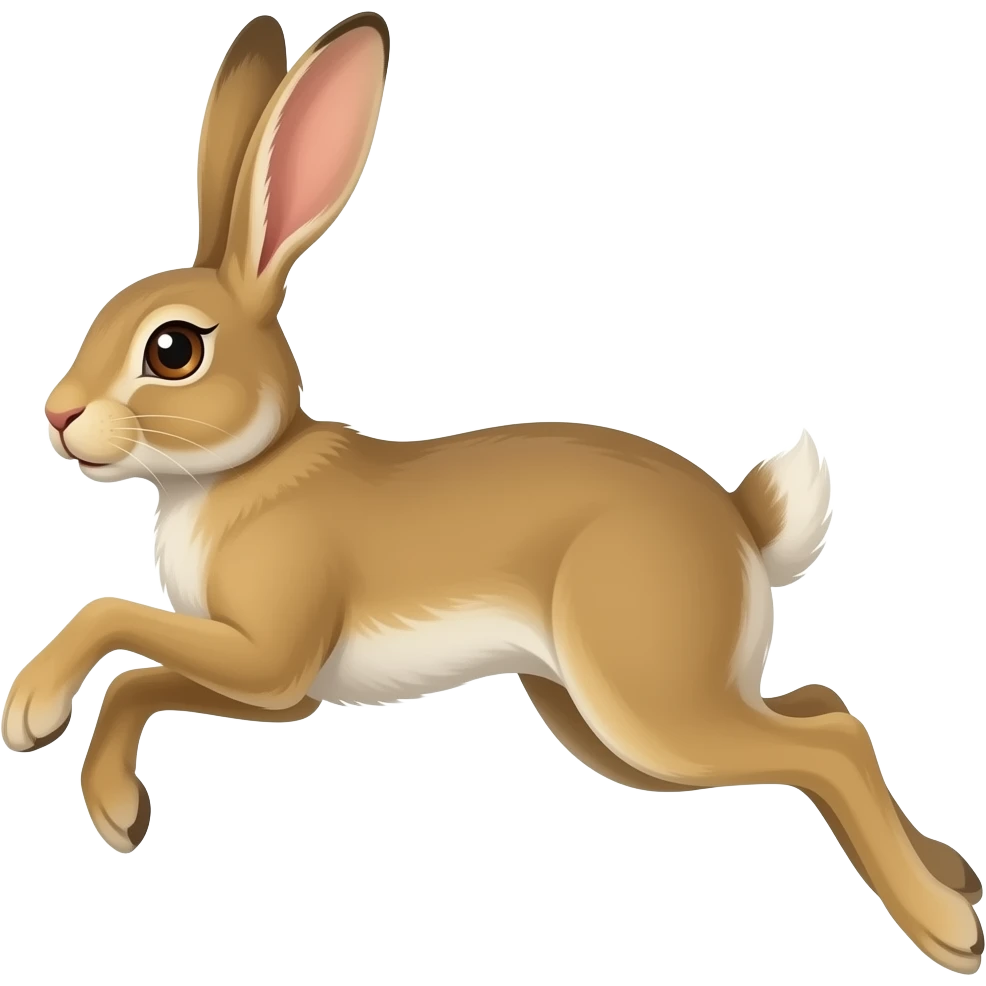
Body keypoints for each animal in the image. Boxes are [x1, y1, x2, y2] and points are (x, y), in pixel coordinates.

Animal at [6, 11, 983, 974]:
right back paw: (957, 874)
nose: (58, 415)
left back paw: (949, 929)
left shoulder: (268, 652)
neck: (246, 471)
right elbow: (146, 676)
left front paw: (34, 720)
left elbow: (115, 624)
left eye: (173, 349)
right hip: (607, 720)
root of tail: (742, 528)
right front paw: (117, 810)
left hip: (647, 702)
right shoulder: (282, 694)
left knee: (828, 742)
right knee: (823, 709)